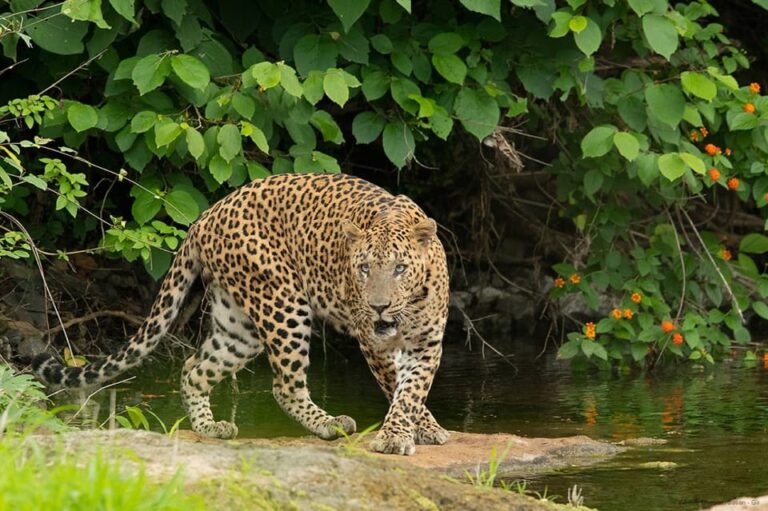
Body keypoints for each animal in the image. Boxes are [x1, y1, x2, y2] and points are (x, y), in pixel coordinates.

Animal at [34, 173, 450, 456]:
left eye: (399, 268)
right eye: (363, 268)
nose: (378, 306)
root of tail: (206, 215)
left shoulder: (428, 343)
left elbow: (412, 389)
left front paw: (422, 428)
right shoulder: (374, 342)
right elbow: (397, 386)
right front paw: (398, 437)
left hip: (239, 327)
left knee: (193, 367)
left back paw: (209, 428)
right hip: (282, 302)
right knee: (283, 386)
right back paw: (330, 424)